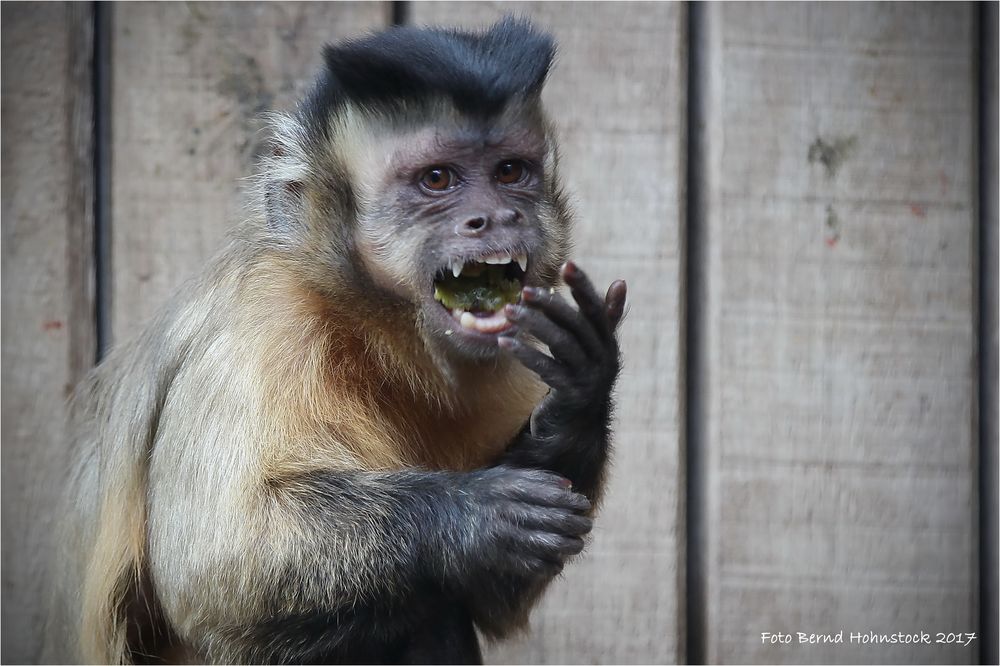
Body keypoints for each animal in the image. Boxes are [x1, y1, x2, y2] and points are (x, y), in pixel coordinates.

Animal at [50, 16, 624, 664]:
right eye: (437, 179)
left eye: (509, 172)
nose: (496, 217)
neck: (368, 328)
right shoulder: (266, 327)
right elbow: (215, 567)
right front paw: (474, 518)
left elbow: (493, 597)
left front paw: (579, 399)